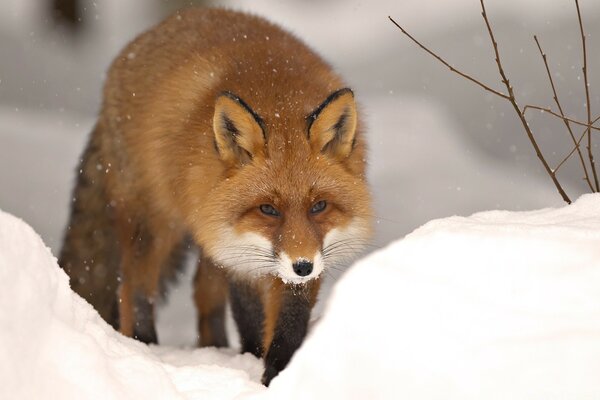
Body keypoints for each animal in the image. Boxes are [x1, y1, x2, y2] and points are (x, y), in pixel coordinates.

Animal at [59, 7, 370, 386]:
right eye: (268, 209)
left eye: (319, 206)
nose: (302, 266)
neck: (278, 98)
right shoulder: (238, 251)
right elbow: (251, 316)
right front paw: (256, 362)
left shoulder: (295, 252)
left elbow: (289, 321)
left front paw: (280, 372)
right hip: (156, 224)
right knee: (132, 287)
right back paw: (146, 346)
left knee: (203, 294)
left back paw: (216, 348)